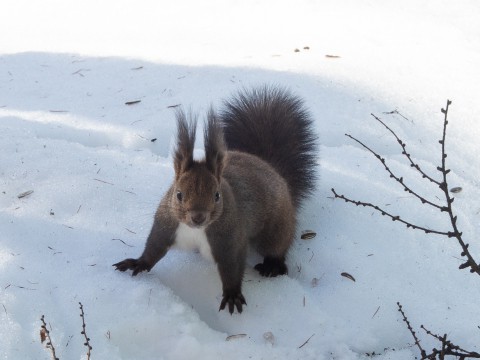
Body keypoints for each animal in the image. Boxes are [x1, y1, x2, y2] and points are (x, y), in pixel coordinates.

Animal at [113, 86, 318, 314]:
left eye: (217, 195)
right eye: (178, 194)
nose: (198, 217)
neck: (195, 231)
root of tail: (273, 171)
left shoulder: (230, 238)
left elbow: (232, 266)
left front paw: (232, 294)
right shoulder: (166, 226)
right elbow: (154, 248)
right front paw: (138, 263)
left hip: (276, 227)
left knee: (278, 246)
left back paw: (272, 266)